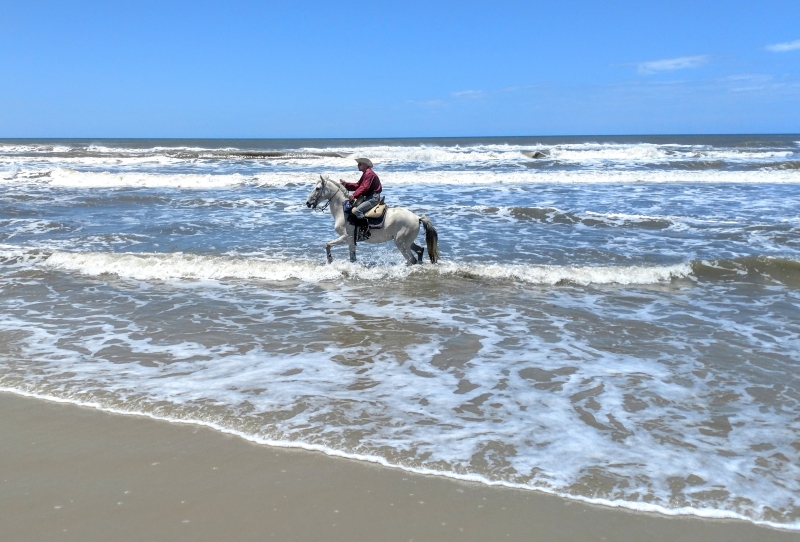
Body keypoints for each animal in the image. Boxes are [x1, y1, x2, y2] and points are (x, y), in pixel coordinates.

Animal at [306, 175, 440, 266]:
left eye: (317, 188)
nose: (308, 203)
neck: (343, 210)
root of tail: (417, 218)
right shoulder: (351, 242)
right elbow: (352, 258)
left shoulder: (346, 238)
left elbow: (327, 244)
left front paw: (330, 260)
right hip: (408, 242)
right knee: (420, 250)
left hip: (401, 243)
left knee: (411, 259)